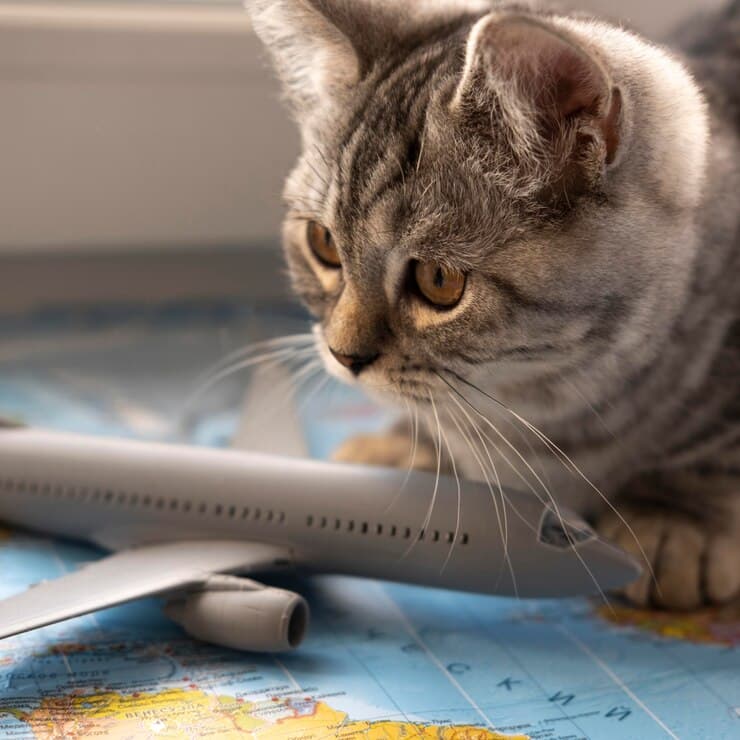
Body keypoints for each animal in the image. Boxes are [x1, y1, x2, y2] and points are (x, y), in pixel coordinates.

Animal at [246, 1, 736, 612]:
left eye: (439, 280)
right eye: (324, 244)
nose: (343, 356)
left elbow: (711, 446)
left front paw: (676, 514)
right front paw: (407, 445)